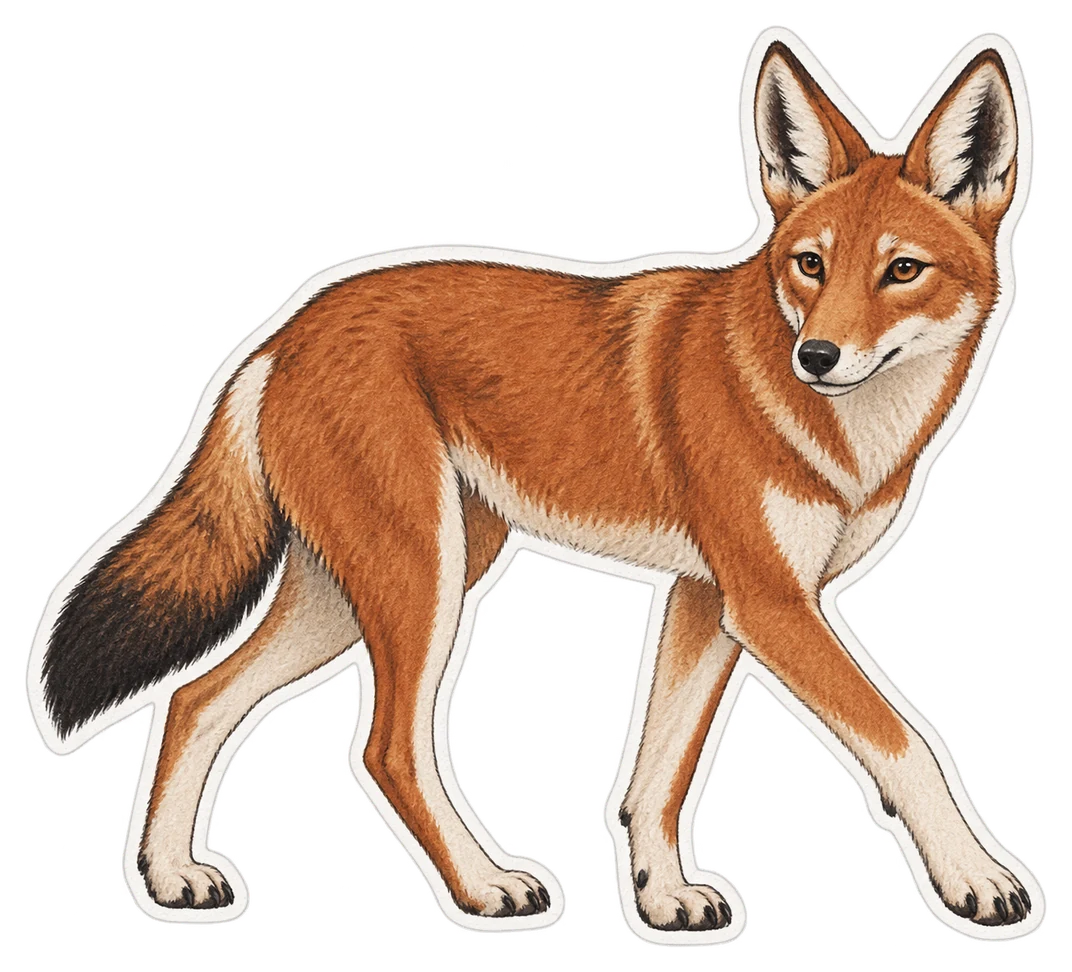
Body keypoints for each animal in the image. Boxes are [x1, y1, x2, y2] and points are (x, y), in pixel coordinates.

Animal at [28, 35, 1038, 936]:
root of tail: (283, 334)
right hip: (420, 584)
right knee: (385, 748)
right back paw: (482, 887)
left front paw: (661, 900)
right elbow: (906, 742)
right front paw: (977, 877)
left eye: (901, 271)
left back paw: (168, 876)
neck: (849, 439)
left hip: (364, 592)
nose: (817, 356)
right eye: (811, 265)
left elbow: (657, 776)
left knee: (195, 698)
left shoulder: (709, 599)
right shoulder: (771, 603)